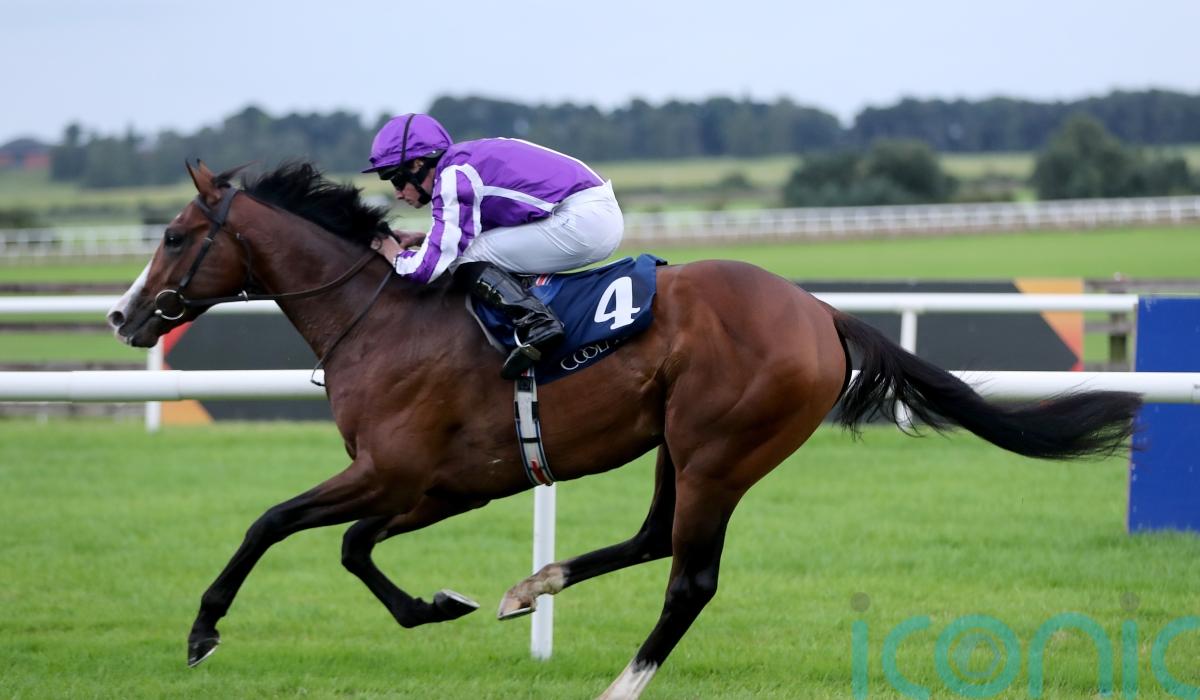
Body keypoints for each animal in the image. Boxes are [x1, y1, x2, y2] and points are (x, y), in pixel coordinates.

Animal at [106, 161, 1141, 699]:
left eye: (172, 235)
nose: (123, 317)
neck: (382, 317)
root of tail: (819, 312)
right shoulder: (440, 486)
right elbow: (352, 546)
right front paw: (444, 603)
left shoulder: (398, 475)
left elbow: (277, 524)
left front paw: (203, 631)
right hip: (678, 444)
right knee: (651, 539)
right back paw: (532, 587)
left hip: (722, 447)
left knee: (690, 577)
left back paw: (621, 681)